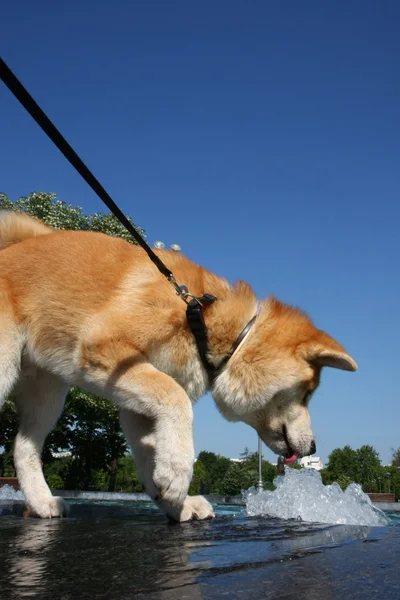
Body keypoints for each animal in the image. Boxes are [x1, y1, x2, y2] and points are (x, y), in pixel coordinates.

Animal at [0, 211, 356, 520]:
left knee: (23, 446)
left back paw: (42, 502)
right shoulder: (103, 347)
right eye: (308, 393)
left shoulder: (137, 408)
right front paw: (178, 471)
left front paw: (176, 501)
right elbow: (177, 399)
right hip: (7, 368)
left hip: (48, 394)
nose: (314, 446)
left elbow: (149, 455)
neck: (200, 317)